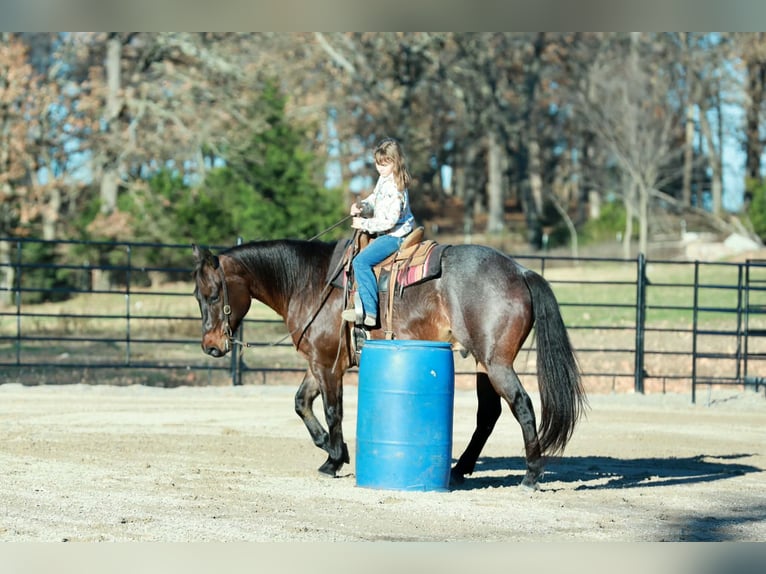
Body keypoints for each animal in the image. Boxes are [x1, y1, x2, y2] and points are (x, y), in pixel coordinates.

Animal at [191, 236, 586, 489]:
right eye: (196, 295)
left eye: (213, 294)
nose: (210, 347)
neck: (311, 283)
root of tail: (520, 272)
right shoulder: (317, 363)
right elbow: (301, 403)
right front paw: (333, 451)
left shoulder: (327, 364)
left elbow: (333, 411)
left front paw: (334, 458)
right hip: (483, 364)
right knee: (488, 414)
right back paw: (460, 469)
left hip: (497, 361)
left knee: (522, 405)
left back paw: (531, 475)